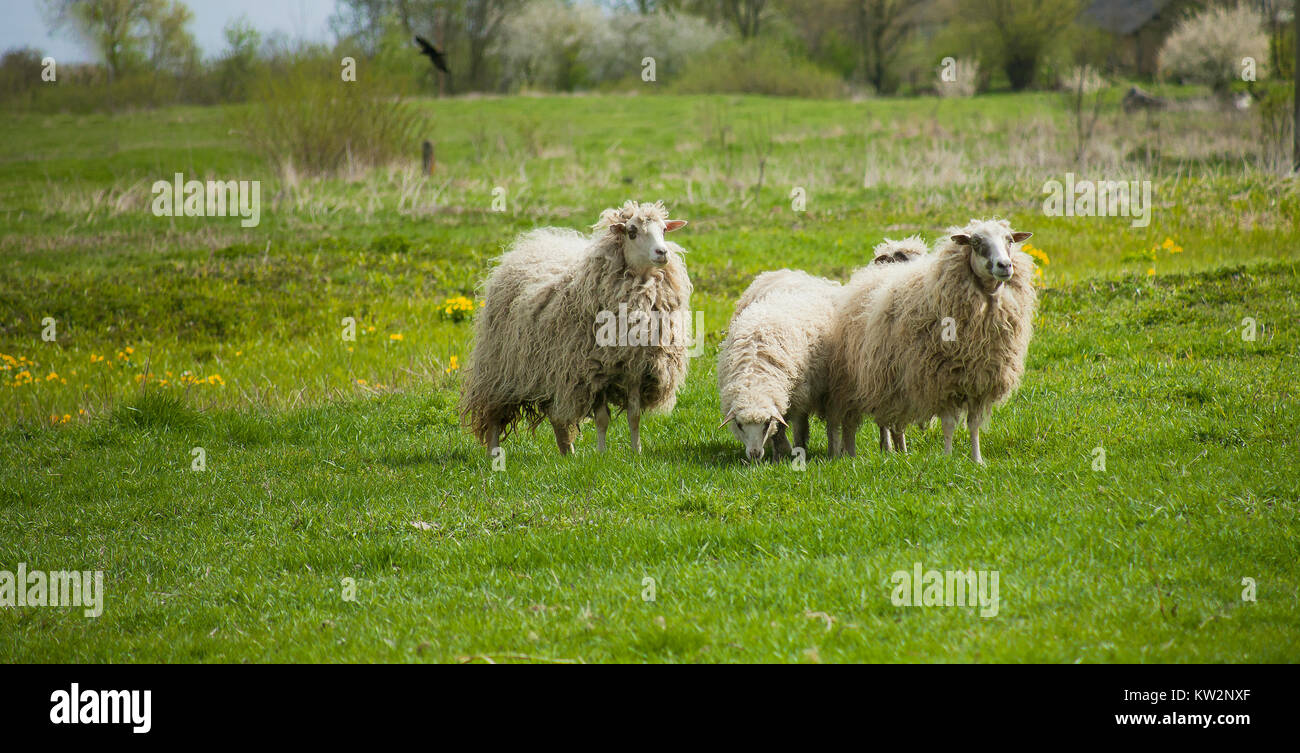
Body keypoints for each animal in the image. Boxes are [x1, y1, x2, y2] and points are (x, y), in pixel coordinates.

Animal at [462, 200, 696, 457]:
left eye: (664, 230)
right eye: (632, 231)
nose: (662, 253)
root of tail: (530, 243)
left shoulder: (635, 370)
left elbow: (634, 416)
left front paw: (637, 452)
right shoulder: (593, 371)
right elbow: (602, 419)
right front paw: (602, 455)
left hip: (551, 369)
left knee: (556, 415)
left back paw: (568, 454)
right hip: (500, 366)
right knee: (494, 411)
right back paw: (494, 453)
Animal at [717, 267, 837, 462]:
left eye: (766, 423)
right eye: (740, 425)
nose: (755, 455)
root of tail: (791, 271)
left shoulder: (797, 395)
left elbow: (789, 426)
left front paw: (786, 452)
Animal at [826, 221, 1040, 462]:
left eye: (1009, 240)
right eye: (976, 242)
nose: (1004, 265)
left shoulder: (980, 382)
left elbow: (974, 425)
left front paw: (977, 460)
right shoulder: (940, 380)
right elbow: (948, 425)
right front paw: (947, 458)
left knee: (893, 421)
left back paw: (897, 450)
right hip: (869, 378)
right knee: (869, 420)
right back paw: (870, 452)